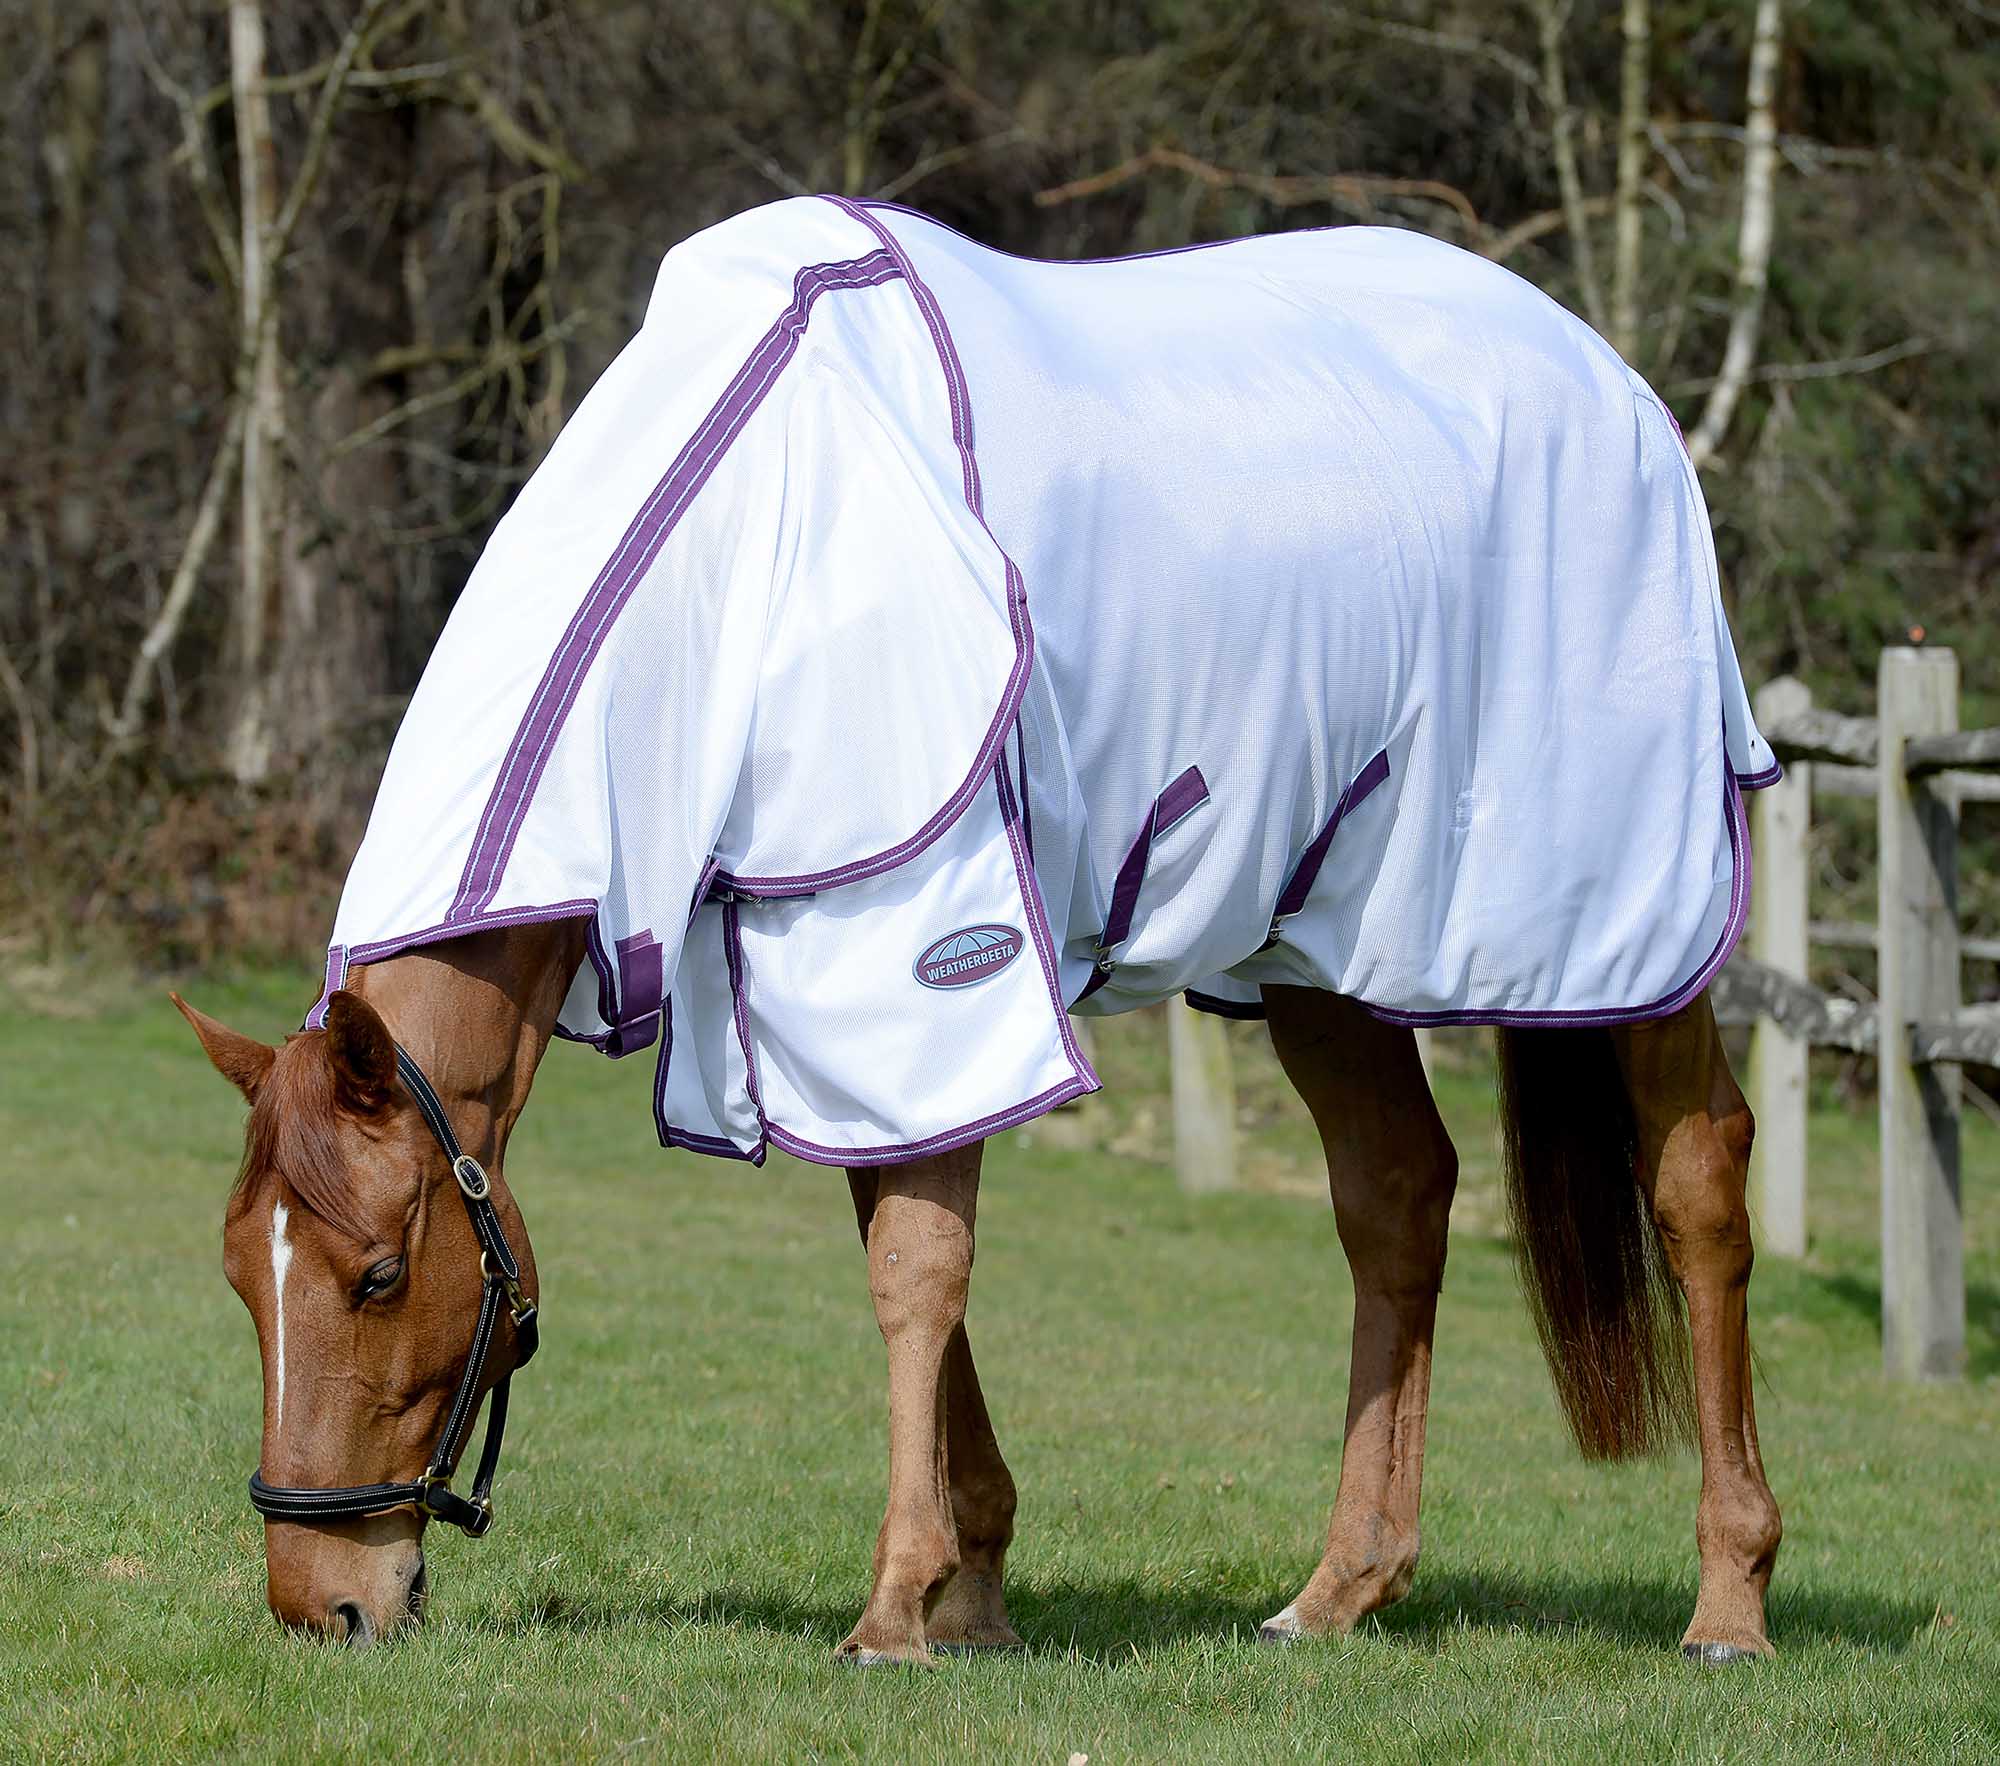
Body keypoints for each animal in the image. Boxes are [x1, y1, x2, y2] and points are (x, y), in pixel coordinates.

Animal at [177, 196, 1782, 1661]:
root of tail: (1614, 384)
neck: (743, 547)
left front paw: (896, 1608)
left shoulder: (927, 943)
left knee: (1700, 1175)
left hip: (1623, 920)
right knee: (1396, 1196)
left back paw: (1729, 1598)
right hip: (1323, 952)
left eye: (380, 1275)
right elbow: (909, 1249)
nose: (320, 1604)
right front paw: (974, 1593)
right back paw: (1339, 1588)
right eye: (236, 1269)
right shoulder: (836, 999)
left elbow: (915, 1270)